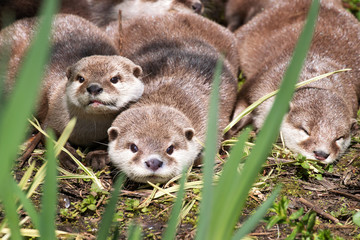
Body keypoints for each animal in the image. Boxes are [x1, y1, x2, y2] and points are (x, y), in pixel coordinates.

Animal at [0, 14, 143, 169]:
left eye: (114, 79)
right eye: (81, 78)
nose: (94, 87)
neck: (87, 133)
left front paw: (98, 156)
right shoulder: (53, 115)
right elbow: (49, 135)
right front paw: (69, 157)